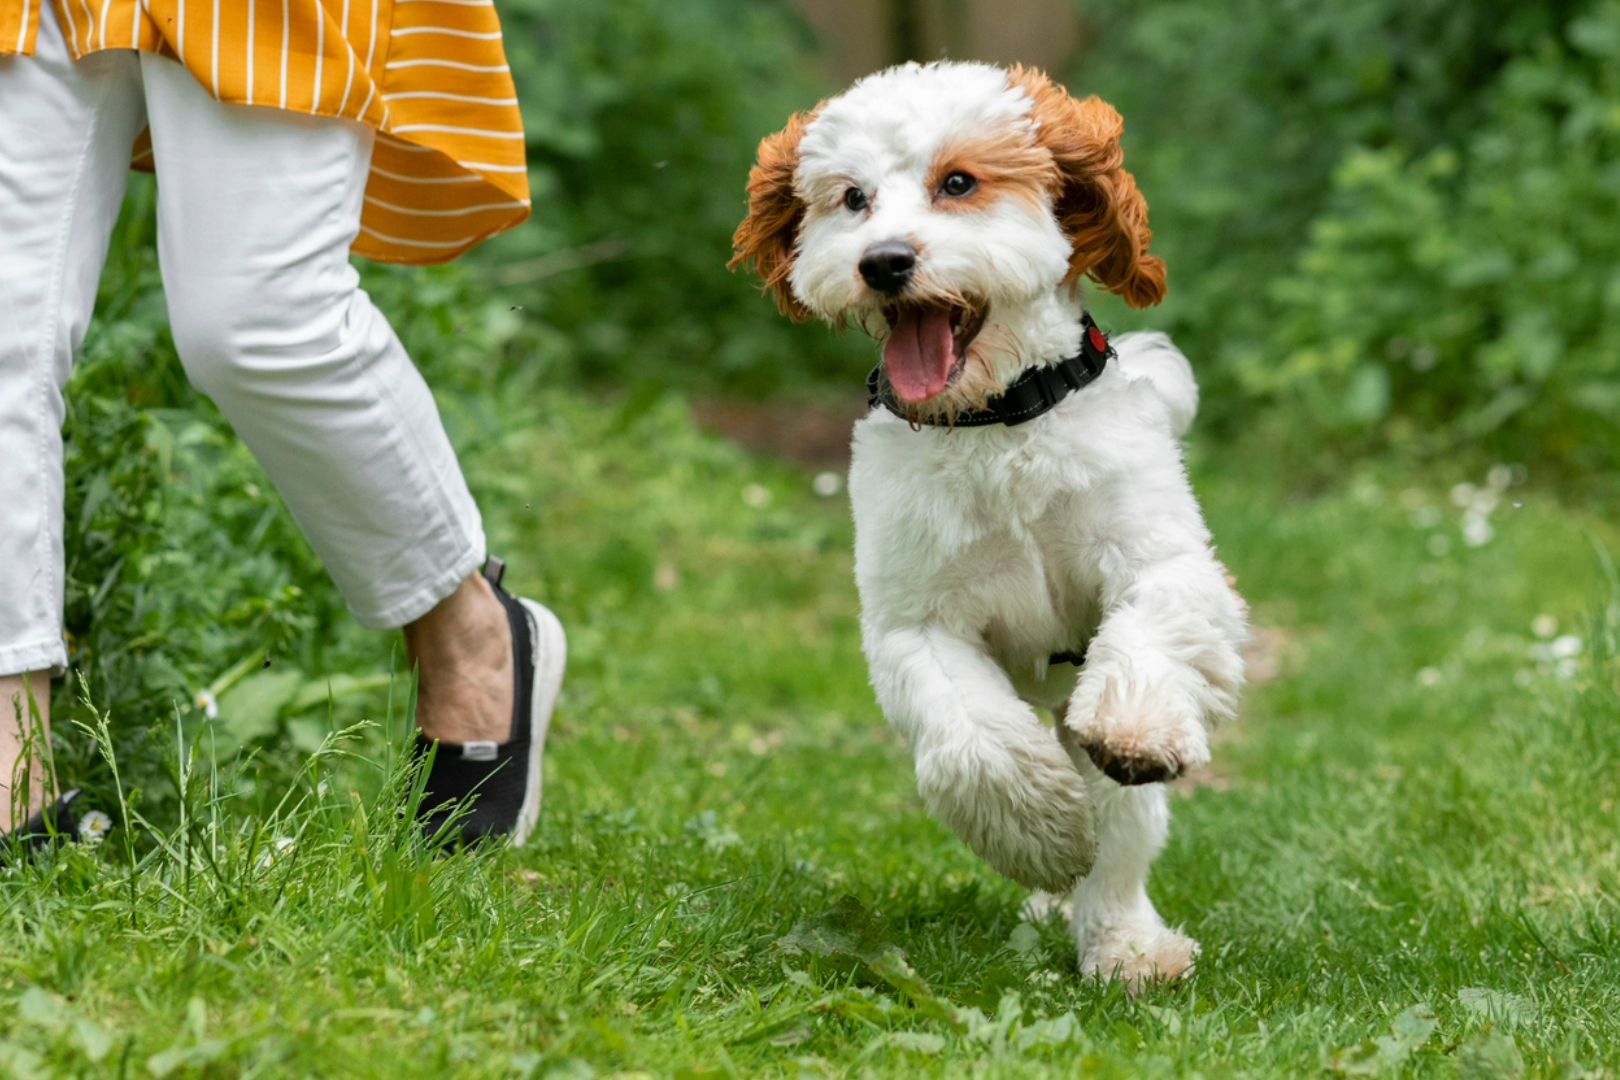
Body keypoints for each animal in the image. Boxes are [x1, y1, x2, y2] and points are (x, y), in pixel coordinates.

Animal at [735, 61, 1250, 990]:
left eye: (959, 183)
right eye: (853, 197)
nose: (885, 262)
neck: (996, 422)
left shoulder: (1166, 566)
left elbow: (1151, 635)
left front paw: (1137, 731)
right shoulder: (914, 624)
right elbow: (973, 742)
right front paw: (1041, 831)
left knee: (1121, 839)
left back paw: (1127, 945)